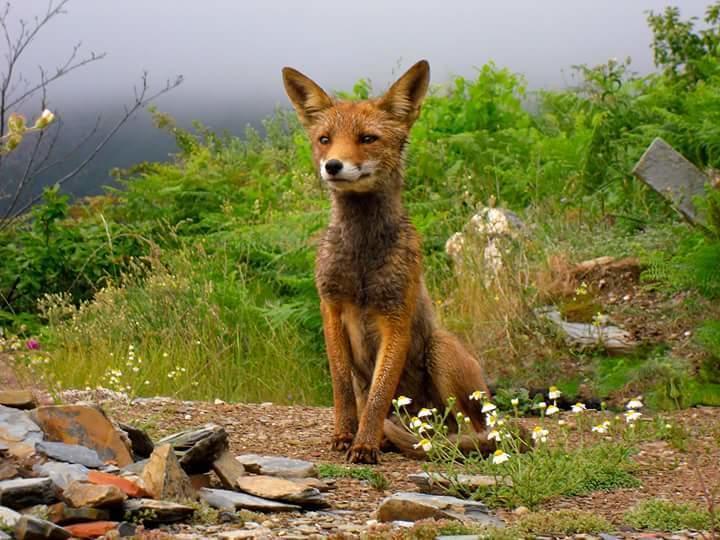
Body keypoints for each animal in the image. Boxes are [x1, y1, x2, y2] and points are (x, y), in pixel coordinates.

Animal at [282, 60, 496, 464]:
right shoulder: (331, 306)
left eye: (367, 138)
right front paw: (344, 436)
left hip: (441, 350)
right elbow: (344, 389)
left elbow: (379, 396)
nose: (333, 166)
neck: (361, 257)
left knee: (473, 431)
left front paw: (364, 445)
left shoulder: (395, 315)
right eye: (325, 139)